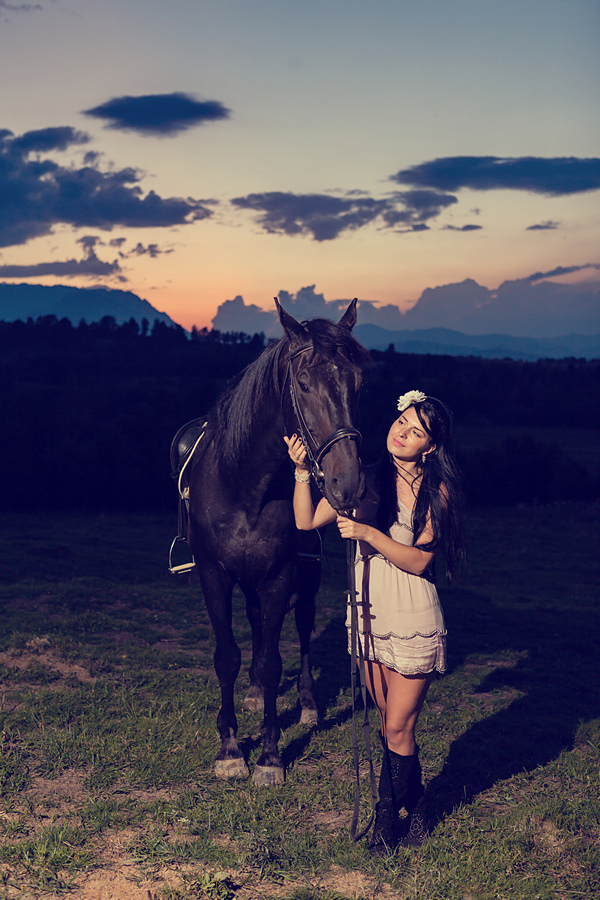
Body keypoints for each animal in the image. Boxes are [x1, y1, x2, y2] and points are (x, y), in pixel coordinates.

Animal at [180, 298, 368, 784]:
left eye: (358, 382)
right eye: (302, 384)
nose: (348, 483)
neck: (245, 487)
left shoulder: (282, 573)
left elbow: (271, 661)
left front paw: (268, 756)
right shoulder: (213, 574)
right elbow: (227, 656)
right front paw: (230, 750)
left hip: (305, 575)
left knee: (299, 628)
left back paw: (307, 705)